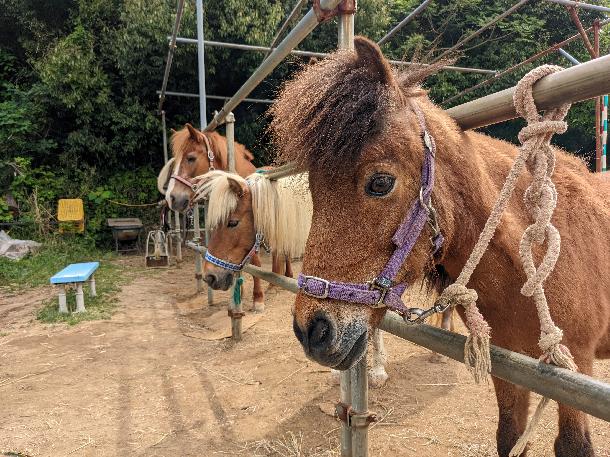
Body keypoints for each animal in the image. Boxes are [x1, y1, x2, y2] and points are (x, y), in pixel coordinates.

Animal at [270, 36, 608, 456]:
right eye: (313, 191)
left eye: (380, 182)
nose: (311, 331)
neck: (533, 264)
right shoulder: (511, 371)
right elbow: (509, 437)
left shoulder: (575, 367)